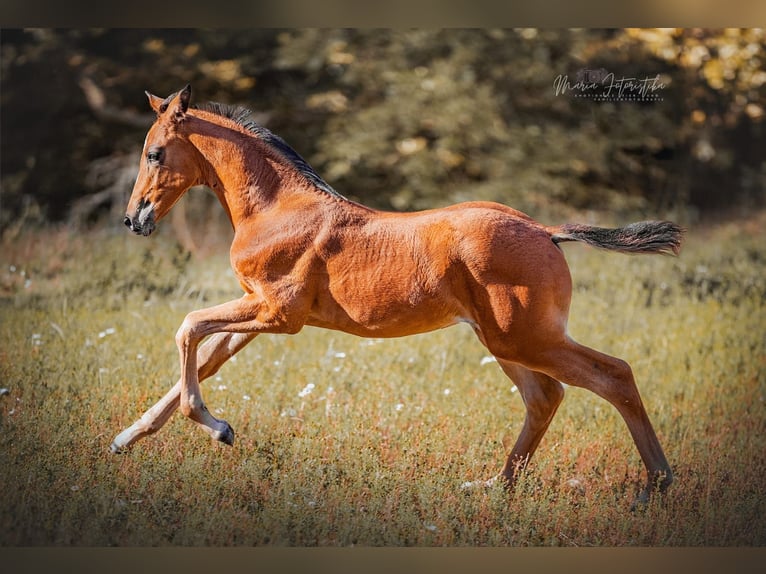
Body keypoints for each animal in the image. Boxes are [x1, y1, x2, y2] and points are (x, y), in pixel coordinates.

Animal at [112, 85, 684, 508]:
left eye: (154, 153)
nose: (133, 218)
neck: (278, 208)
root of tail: (545, 231)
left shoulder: (277, 313)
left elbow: (187, 327)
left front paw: (220, 429)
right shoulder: (256, 315)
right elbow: (204, 358)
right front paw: (125, 439)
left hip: (526, 338)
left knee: (613, 375)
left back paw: (655, 487)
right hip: (505, 340)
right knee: (545, 397)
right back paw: (494, 488)